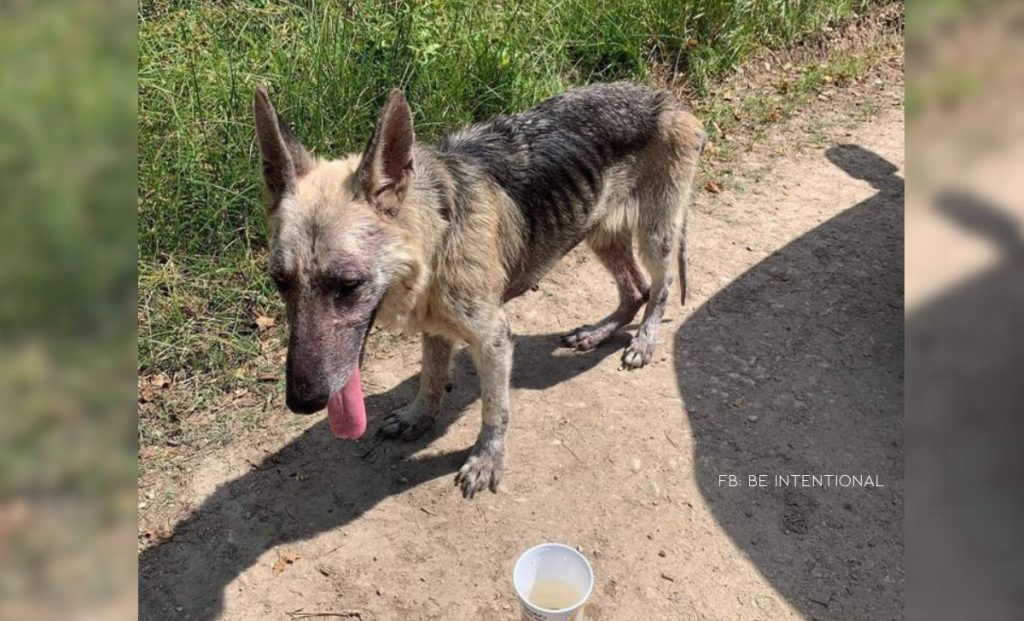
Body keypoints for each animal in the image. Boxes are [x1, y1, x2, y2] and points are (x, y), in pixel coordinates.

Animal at [256, 84, 704, 502]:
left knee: (659, 289)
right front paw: (419, 416)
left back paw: (644, 341)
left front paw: (488, 458)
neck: (437, 234)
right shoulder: (435, 328)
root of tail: (667, 99)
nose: (302, 401)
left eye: (349, 285)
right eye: (281, 282)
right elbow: (432, 377)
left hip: (656, 235)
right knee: (635, 290)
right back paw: (598, 332)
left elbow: (495, 409)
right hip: (599, 232)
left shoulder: (493, 340)